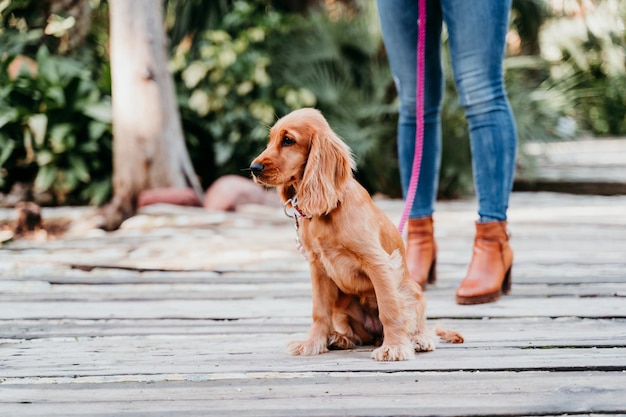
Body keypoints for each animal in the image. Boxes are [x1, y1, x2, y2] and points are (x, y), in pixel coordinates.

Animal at [250, 108, 464, 360]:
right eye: (270, 140)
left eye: (288, 140)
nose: (253, 168)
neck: (331, 208)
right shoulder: (317, 267)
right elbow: (319, 312)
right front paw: (312, 343)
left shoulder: (379, 263)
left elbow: (389, 309)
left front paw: (394, 347)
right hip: (342, 303)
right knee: (359, 335)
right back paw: (340, 338)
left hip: (411, 291)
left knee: (416, 323)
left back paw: (418, 339)